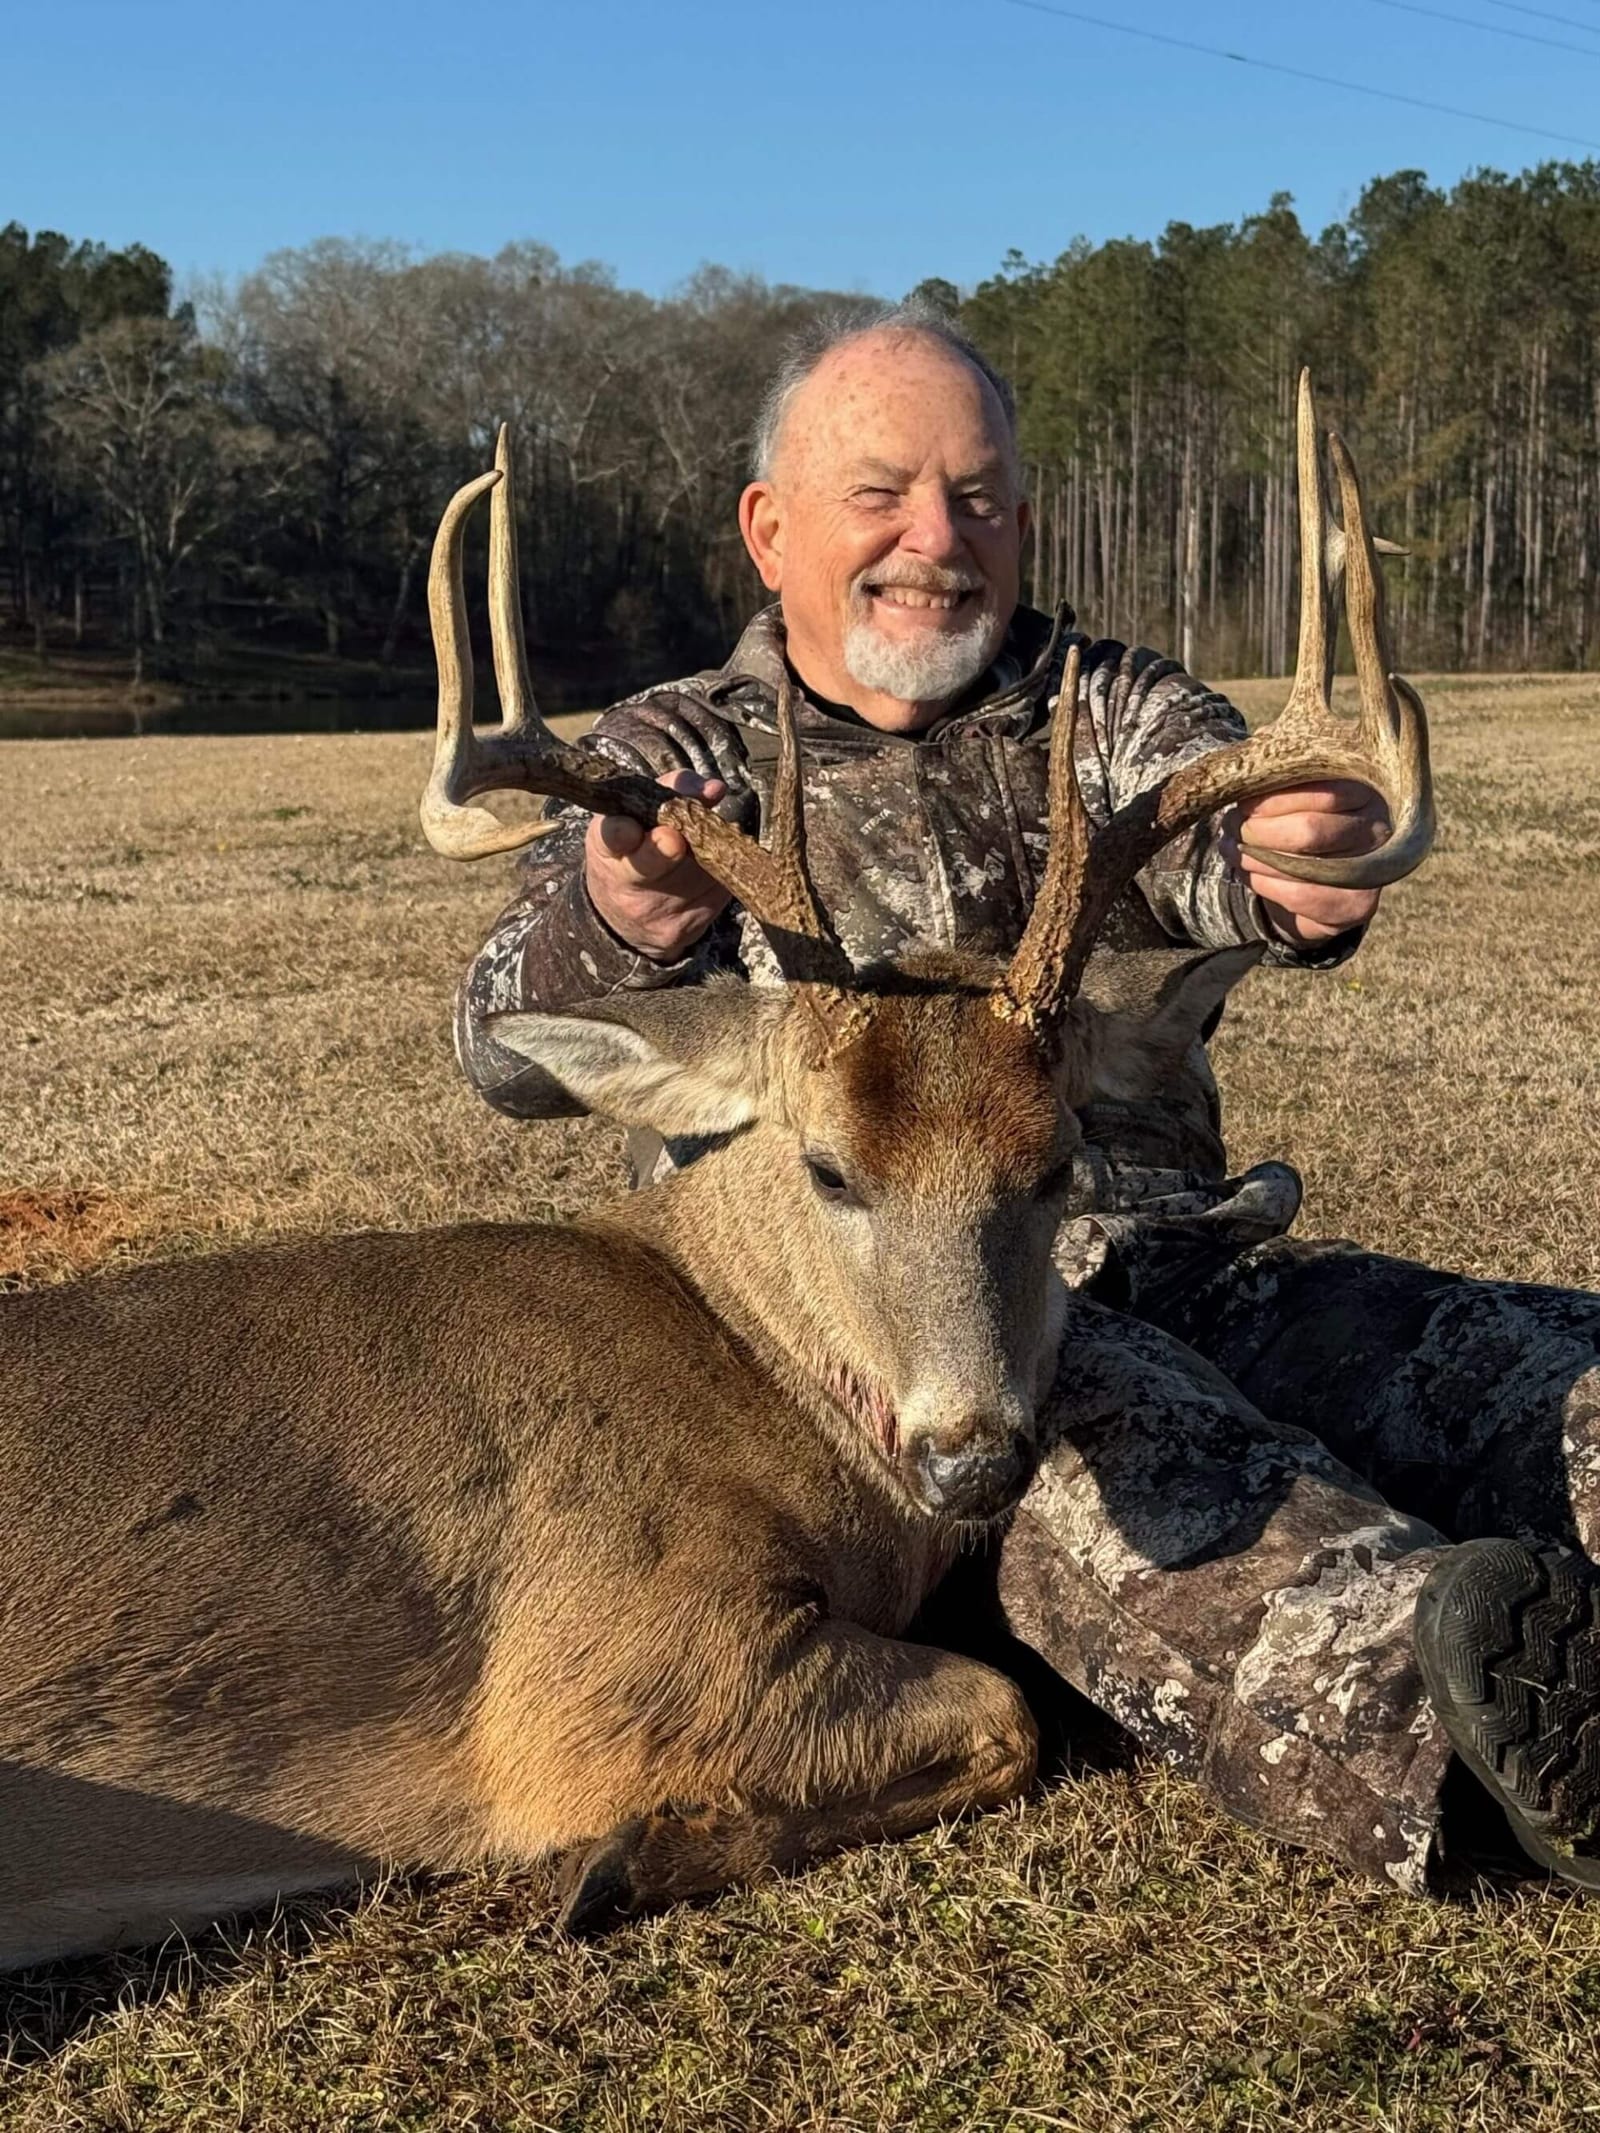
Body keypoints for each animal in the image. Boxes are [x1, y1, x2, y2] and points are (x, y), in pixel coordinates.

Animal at [0, 374, 1431, 1970]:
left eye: (1058, 1162)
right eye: (827, 1168)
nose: (975, 1456)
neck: (750, 1367)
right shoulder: (588, 1665)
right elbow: (1004, 1711)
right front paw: (621, 1862)